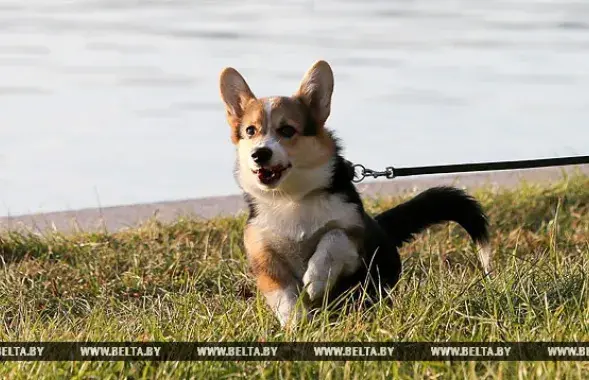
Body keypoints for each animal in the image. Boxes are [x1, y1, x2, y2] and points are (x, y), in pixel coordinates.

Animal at [218, 60, 490, 328]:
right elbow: (282, 293)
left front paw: (316, 280)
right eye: (250, 131)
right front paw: (296, 322)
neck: (292, 197)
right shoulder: (261, 254)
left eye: (287, 130)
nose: (259, 154)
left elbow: (333, 238)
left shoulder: (354, 239)